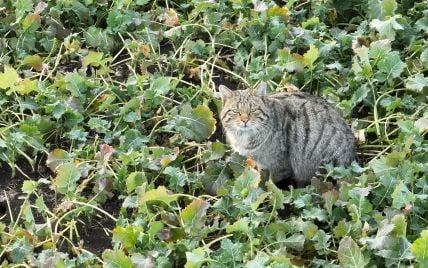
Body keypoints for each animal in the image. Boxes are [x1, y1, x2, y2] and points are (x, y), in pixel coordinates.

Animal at [219, 81, 356, 186]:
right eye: (235, 111)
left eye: (253, 110)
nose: (245, 120)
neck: (244, 137)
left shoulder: (280, 165)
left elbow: (272, 183)